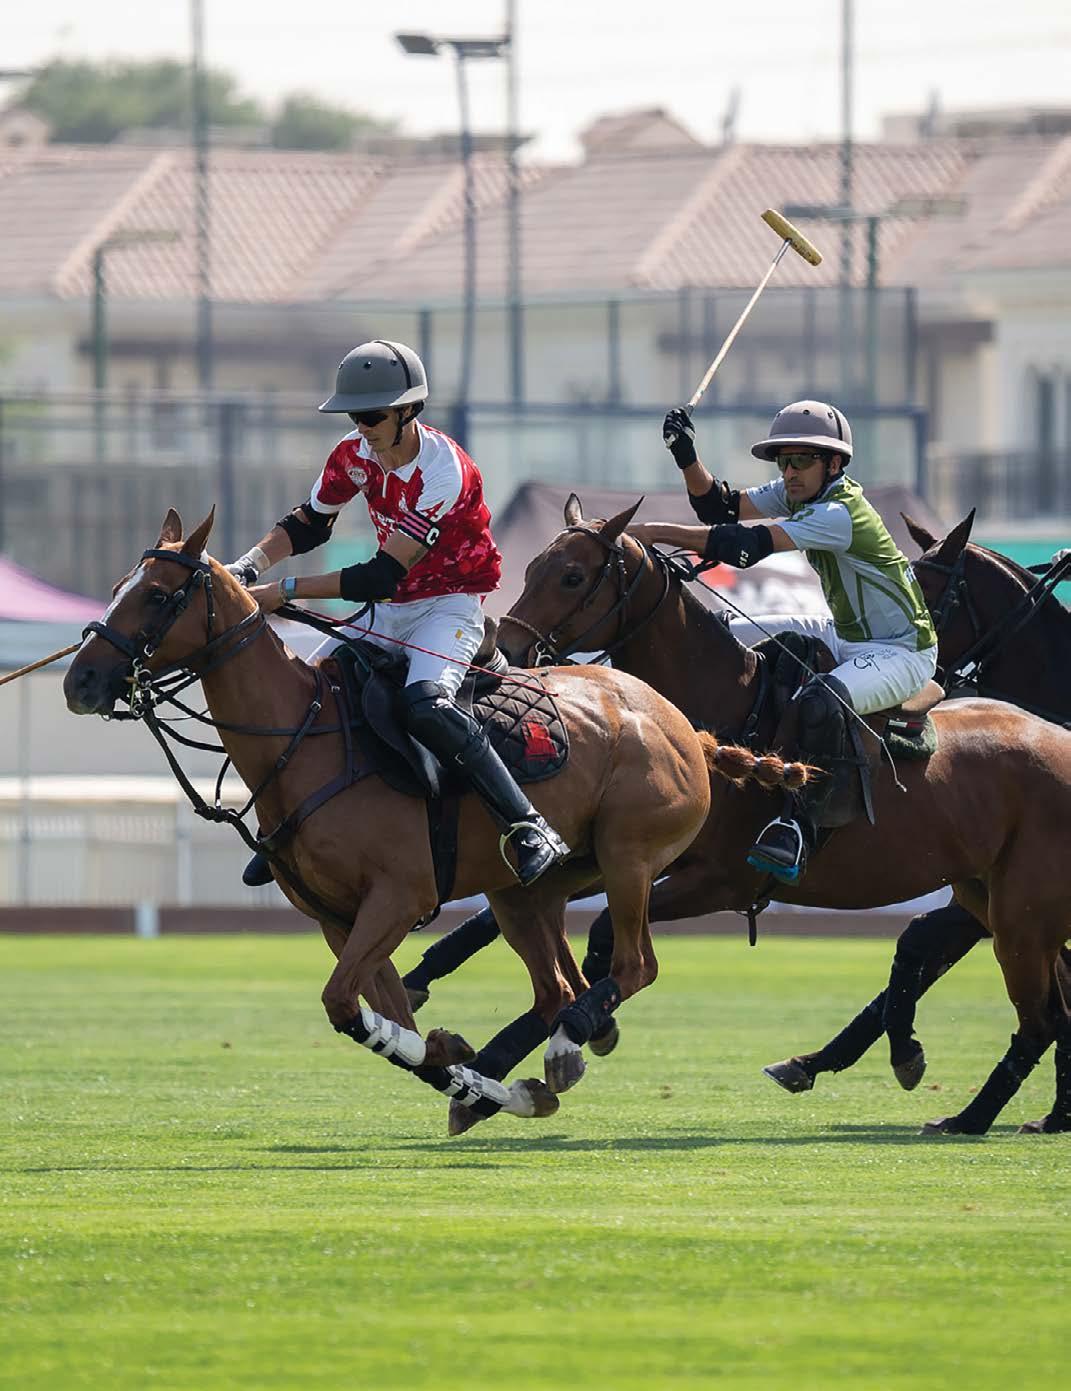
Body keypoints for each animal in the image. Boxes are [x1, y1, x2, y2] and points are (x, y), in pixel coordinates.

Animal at [62, 507, 734, 1133]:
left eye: (157, 594)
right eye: (119, 584)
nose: (80, 681)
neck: (302, 737)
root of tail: (678, 720)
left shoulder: (399, 897)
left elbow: (344, 1004)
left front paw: (459, 1060)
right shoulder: (339, 918)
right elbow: (386, 1020)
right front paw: (478, 1077)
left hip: (628, 858)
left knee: (632, 965)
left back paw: (567, 1043)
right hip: (523, 892)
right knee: (558, 988)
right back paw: (541, 1065)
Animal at [490, 495, 1071, 1135]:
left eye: (572, 576)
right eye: (529, 570)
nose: (508, 652)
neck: (725, 709)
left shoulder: (720, 881)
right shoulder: (638, 860)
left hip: (1016, 908)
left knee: (1038, 1012)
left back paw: (966, 1110)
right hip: (989, 893)